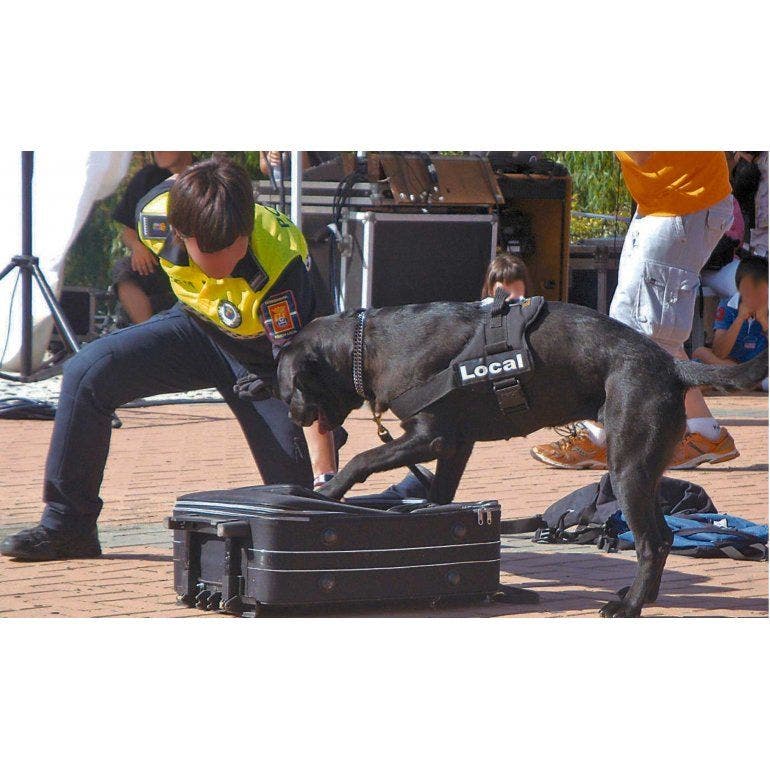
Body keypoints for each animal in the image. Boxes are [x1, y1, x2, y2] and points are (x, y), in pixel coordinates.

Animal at [250, 296, 760, 616]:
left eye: (289, 390)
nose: (293, 415)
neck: (368, 345)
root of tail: (672, 364)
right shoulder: (455, 445)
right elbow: (438, 496)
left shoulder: (430, 436)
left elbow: (363, 458)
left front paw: (329, 490)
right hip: (644, 470)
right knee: (665, 538)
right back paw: (642, 597)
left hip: (627, 468)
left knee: (652, 543)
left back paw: (629, 607)